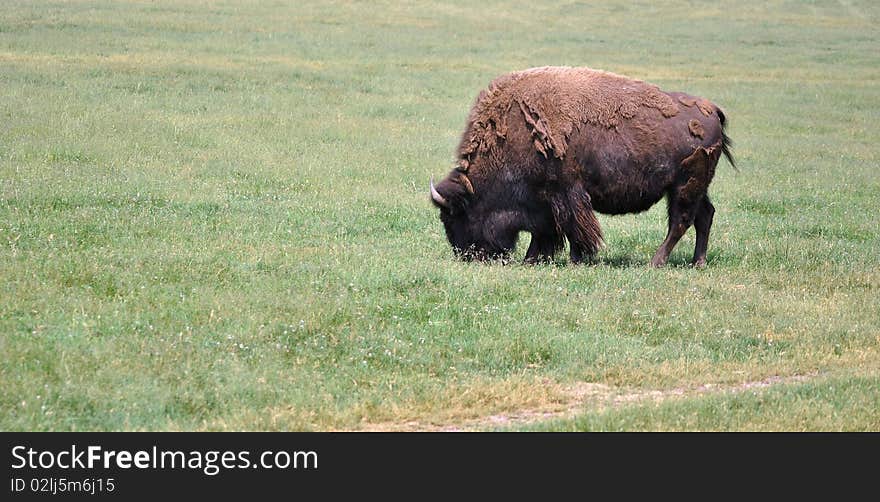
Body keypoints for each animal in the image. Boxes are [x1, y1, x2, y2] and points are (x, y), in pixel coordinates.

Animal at [430, 66, 732, 266]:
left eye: (453, 216)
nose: (467, 256)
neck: (512, 133)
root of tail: (713, 109)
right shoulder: (546, 203)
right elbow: (547, 232)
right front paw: (533, 259)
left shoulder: (565, 194)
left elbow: (573, 228)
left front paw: (576, 259)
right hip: (693, 187)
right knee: (704, 216)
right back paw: (697, 262)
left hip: (684, 186)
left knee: (681, 221)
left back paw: (655, 262)